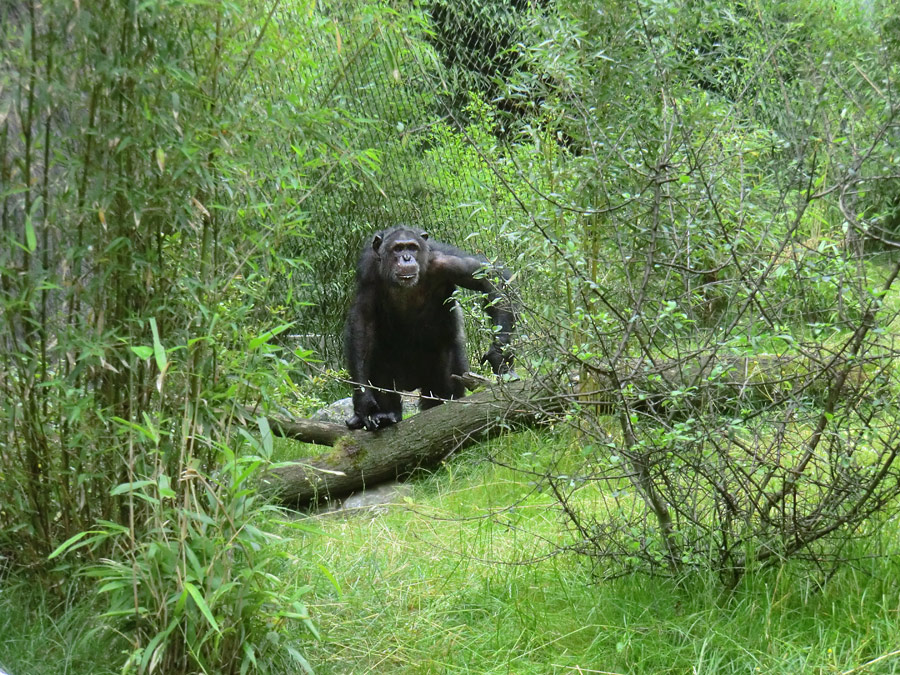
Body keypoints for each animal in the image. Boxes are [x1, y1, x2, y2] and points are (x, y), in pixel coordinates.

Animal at [342, 224, 512, 430]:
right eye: (398, 249)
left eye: (412, 247)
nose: (407, 257)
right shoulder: (368, 271)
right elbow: (363, 322)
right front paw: (364, 402)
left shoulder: (446, 261)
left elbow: (489, 278)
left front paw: (499, 354)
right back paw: (387, 415)